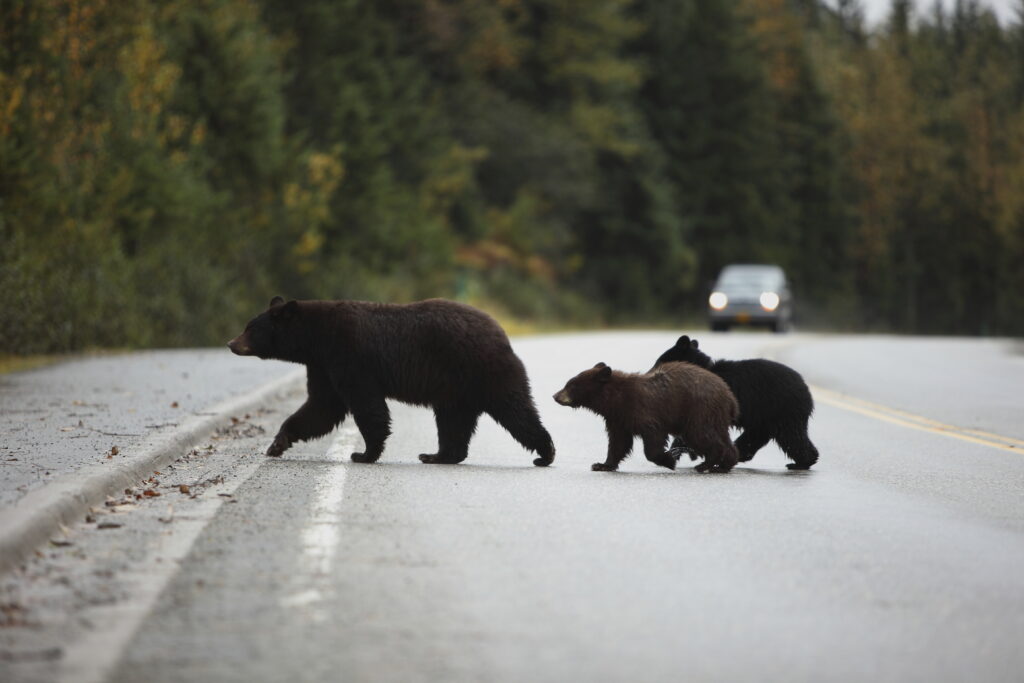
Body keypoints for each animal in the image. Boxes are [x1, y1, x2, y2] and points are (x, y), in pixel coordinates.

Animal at [228, 297, 555, 467]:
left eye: (250, 328)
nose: (231, 343)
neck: (315, 339)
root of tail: (501, 332)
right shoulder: (322, 365)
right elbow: (321, 406)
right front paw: (277, 443)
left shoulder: (349, 355)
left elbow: (365, 405)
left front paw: (363, 453)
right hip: (455, 390)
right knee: (454, 422)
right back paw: (437, 455)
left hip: (483, 371)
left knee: (515, 410)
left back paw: (545, 453)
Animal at [553, 362, 738, 473]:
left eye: (571, 385)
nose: (555, 396)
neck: (616, 400)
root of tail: (730, 397)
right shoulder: (618, 419)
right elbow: (618, 442)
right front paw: (602, 464)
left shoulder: (642, 410)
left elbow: (653, 437)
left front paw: (668, 460)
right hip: (715, 416)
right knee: (721, 438)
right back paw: (724, 465)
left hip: (699, 411)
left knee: (701, 435)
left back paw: (705, 464)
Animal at [653, 335, 818, 470]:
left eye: (659, 361)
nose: (651, 373)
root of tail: (807, 390)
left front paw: (673, 452)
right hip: (765, 418)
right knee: (756, 437)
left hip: (782, 411)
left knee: (791, 437)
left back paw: (801, 463)